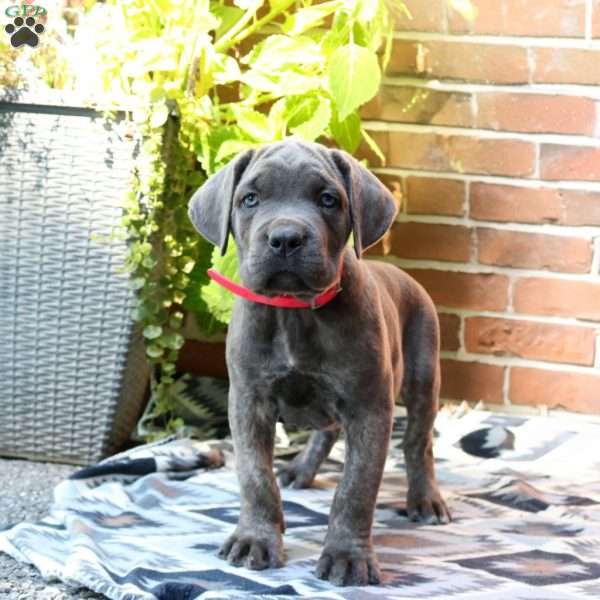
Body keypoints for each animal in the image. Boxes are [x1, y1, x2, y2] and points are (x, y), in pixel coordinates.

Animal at [188, 139, 450, 584]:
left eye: (328, 199)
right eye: (250, 199)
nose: (285, 238)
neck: (295, 312)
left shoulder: (368, 409)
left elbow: (356, 489)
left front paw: (348, 556)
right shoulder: (248, 402)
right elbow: (256, 478)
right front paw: (256, 539)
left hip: (422, 376)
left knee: (418, 444)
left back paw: (425, 499)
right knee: (326, 431)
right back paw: (300, 471)